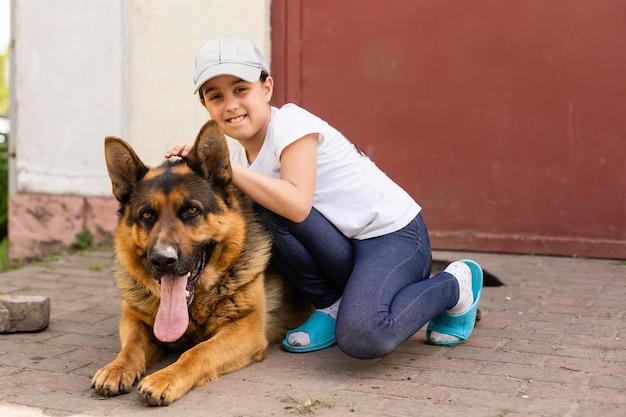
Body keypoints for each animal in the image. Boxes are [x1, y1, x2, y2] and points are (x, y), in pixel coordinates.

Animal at [91, 119, 312, 404]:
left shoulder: (246, 329)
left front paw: (166, 377)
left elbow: (198, 351)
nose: (162, 260)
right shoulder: (134, 318)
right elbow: (131, 347)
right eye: (146, 215)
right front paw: (116, 367)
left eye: (191, 210)